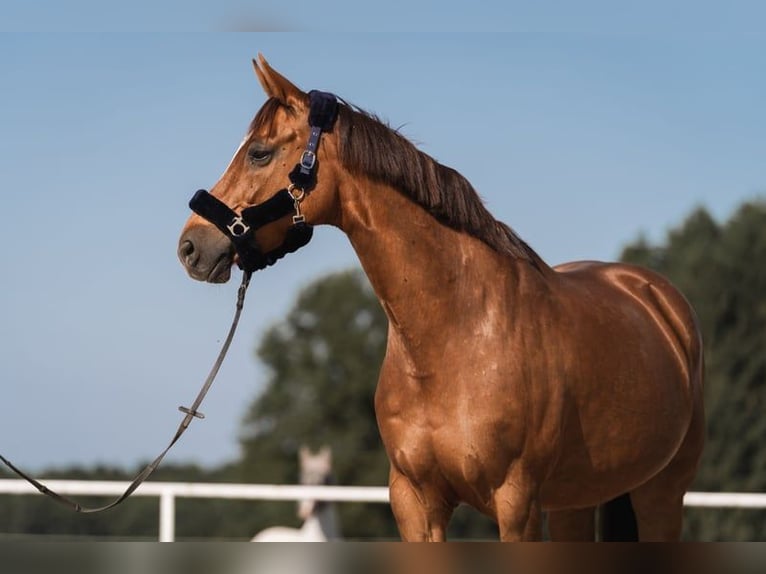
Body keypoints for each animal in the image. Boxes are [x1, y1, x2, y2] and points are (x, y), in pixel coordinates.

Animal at [180, 56, 708, 544]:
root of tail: (655, 297)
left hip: (661, 493)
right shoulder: (415, 500)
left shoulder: (517, 504)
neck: (455, 336)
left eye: (259, 153)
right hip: (576, 501)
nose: (190, 247)